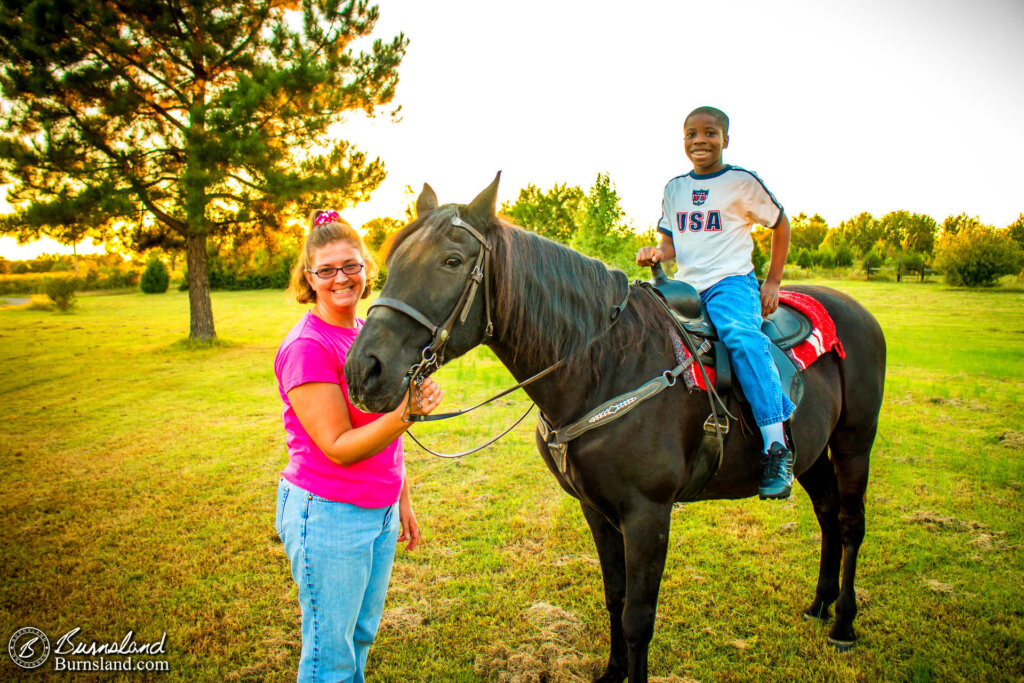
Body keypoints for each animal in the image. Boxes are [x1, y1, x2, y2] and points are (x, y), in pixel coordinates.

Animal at [346, 175, 888, 679]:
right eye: (393, 259)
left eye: (453, 260)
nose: (363, 370)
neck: (605, 365)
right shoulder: (596, 509)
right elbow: (615, 596)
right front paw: (613, 671)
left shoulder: (648, 513)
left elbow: (638, 617)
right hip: (813, 455)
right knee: (827, 516)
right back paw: (820, 605)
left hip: (854, 445)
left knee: (849, 523)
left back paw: (843, 623)